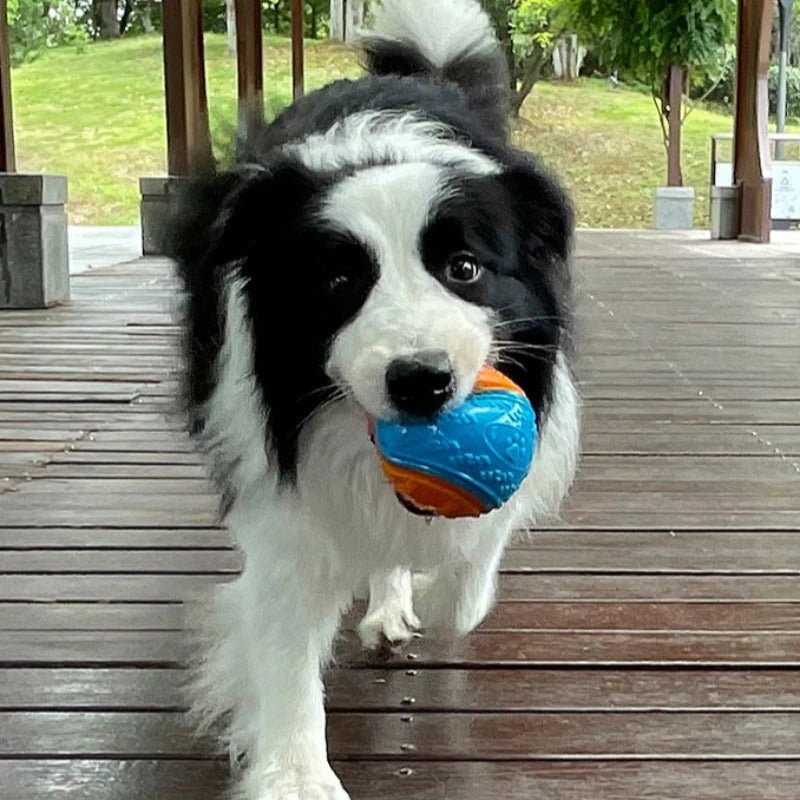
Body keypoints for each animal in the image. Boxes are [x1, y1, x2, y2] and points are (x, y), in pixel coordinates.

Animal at [169, 1, 580, 800]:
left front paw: (430, 584)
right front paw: (295, 774)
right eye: (338, 285)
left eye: (464, 268)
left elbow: (468, 577)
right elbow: (284, 637)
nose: (420, 380)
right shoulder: (276, 489)